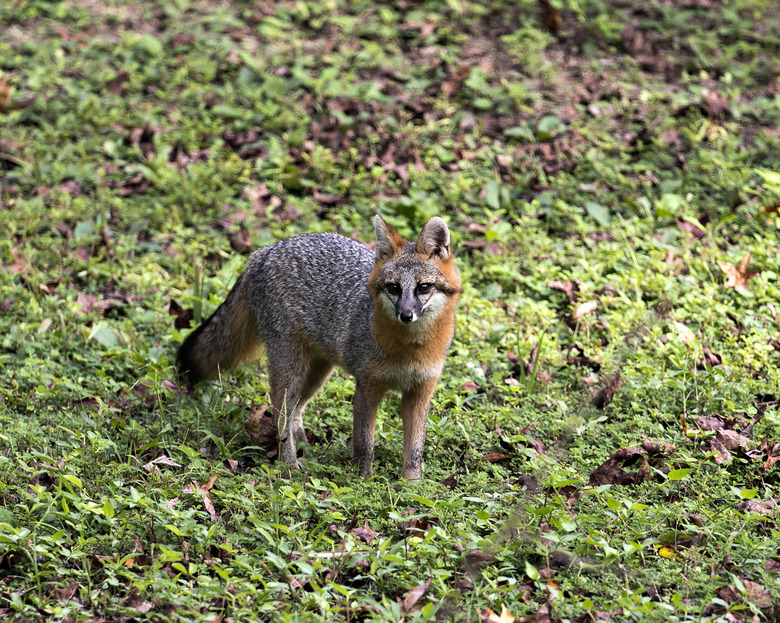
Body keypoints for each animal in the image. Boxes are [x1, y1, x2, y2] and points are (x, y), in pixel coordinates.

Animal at [177, 217, 460, 480]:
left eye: (423, 287)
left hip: (318, 372)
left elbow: (414, 450)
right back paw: (289, 464)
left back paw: (303, 443)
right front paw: (364, 482)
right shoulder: (367, 387)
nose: (406, 315)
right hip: (291, 367)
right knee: (280, 416)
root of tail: (264, 251)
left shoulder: (420, 392)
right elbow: (365, 445)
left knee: (296, 409)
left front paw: (412, 485)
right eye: (394, 288)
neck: (411, 350)